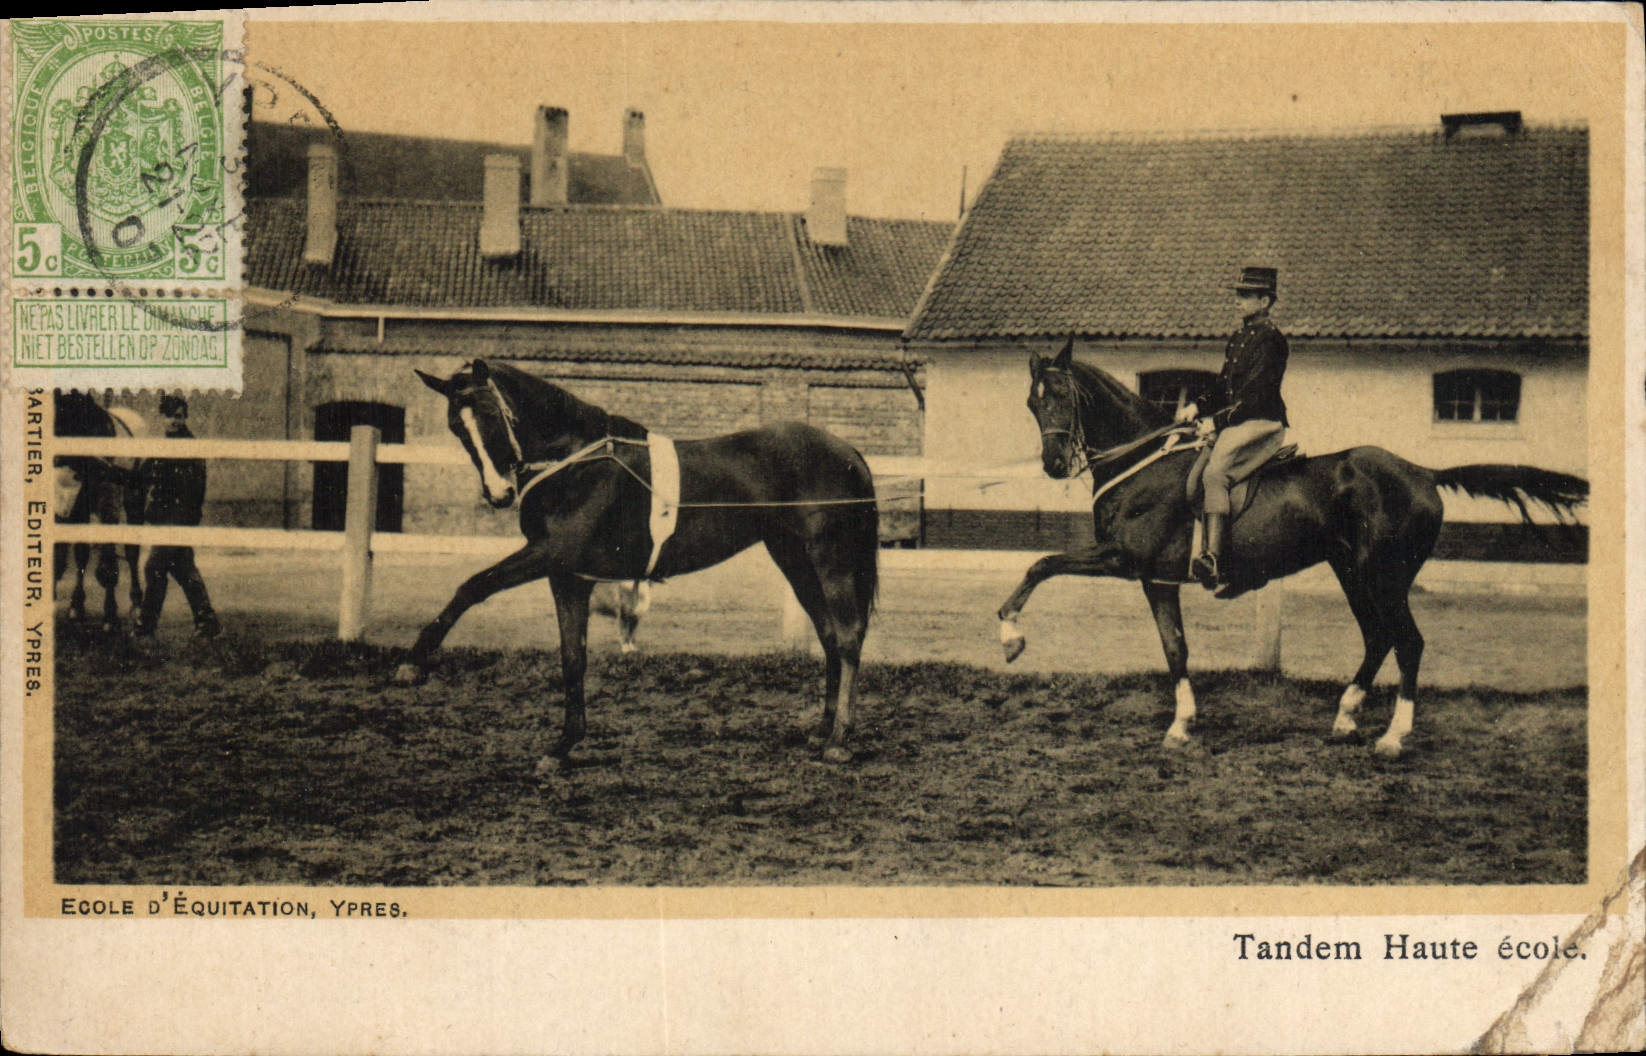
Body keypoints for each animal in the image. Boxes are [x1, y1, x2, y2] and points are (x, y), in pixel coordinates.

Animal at [54, 391, 146, 630]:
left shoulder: (109, 507)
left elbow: (108, 567)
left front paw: (110, 616)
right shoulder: (72, 507)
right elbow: (70, 555)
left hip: (134, 500)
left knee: (131, 552)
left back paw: (136, 604)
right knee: (83, 554)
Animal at [394, 360, 880, 766]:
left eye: (492, 415)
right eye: (457, 427)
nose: (499, 494)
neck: (575, 464)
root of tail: (849, 453)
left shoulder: (551, 553)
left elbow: (473, 585)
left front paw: (412, 663)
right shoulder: (567, 577)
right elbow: (573, 657)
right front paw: (564, 745)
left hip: (830, 558)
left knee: (848, 636)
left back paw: (839, 739)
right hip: (794, 559)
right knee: (828, 633)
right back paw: (822, 729)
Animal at [998, 340, 1588, 758]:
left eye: (1062, 395)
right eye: (1030, 402)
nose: (1054, 465)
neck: (1143, 462)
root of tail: (1422, 472)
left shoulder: (1123, 559)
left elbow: (1041, 563)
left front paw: (1010, 636)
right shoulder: (1155, 577)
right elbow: (1176, 649)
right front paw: (1182, 725)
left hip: (1383, 578)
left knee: (1408, 643)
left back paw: (1393, 738)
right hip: (1352, 573)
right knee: (1378, 638)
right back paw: (1345, 717)